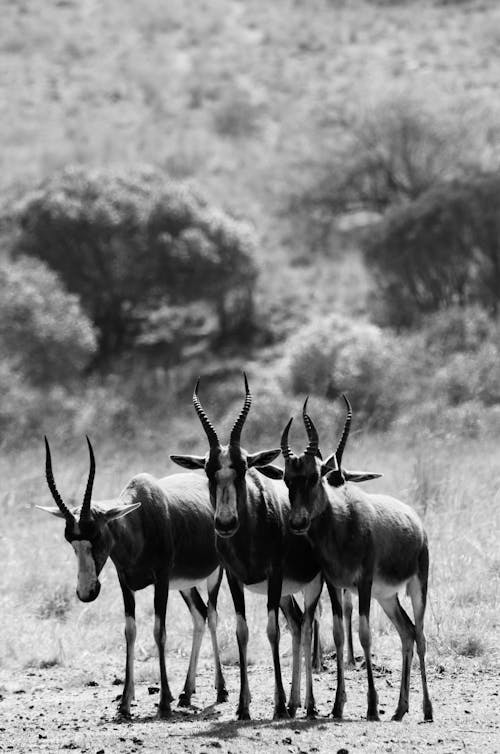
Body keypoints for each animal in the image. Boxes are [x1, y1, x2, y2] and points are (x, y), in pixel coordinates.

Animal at [37, 434, 229, 716]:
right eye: (69, 539)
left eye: (97, 534)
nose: (86, 592)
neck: (141, 517)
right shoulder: (125, 583)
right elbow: (130, 631)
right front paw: (125, 703)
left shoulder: (161, 581)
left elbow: (159, 631)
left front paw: (163, 702)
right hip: (184, 584)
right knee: (200, 615)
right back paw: (186, 694)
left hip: (215, 573)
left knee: (213, 615)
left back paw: (221, 690)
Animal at [282, 396, 434, 720]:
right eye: (288, 478)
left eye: (314, 476)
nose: (298, 522)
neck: (344, 523)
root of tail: (416, 521)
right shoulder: (335, 585)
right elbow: (339, 634)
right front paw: (337, 705)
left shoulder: (363, 583)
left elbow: (365, 635)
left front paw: (372, 706)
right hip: (387, 597)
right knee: (407, 633)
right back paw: (400, 709)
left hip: (417, 587)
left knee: (420, 635)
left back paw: (426, 710)